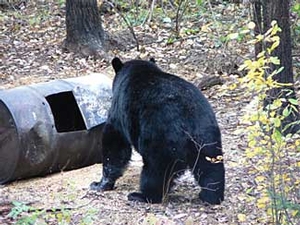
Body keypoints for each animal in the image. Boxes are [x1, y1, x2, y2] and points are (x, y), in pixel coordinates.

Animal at [91, 57, 225, 205]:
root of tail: (188, 121)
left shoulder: (120, 110)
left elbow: (115, 143)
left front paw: (99, 184)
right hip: (207, 135)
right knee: (211, 165)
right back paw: (211, 195)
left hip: (160, 136)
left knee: (156, 169)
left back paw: (142, 195)